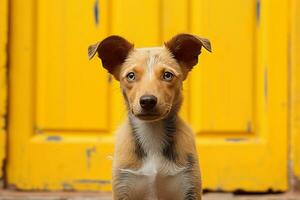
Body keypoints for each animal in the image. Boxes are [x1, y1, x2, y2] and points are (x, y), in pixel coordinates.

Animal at [88, 33, 211, 199]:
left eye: (167, 75)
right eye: (131, 76)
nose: (147, 101)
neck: (152, 132)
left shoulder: (189, 185)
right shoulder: (123, 186)